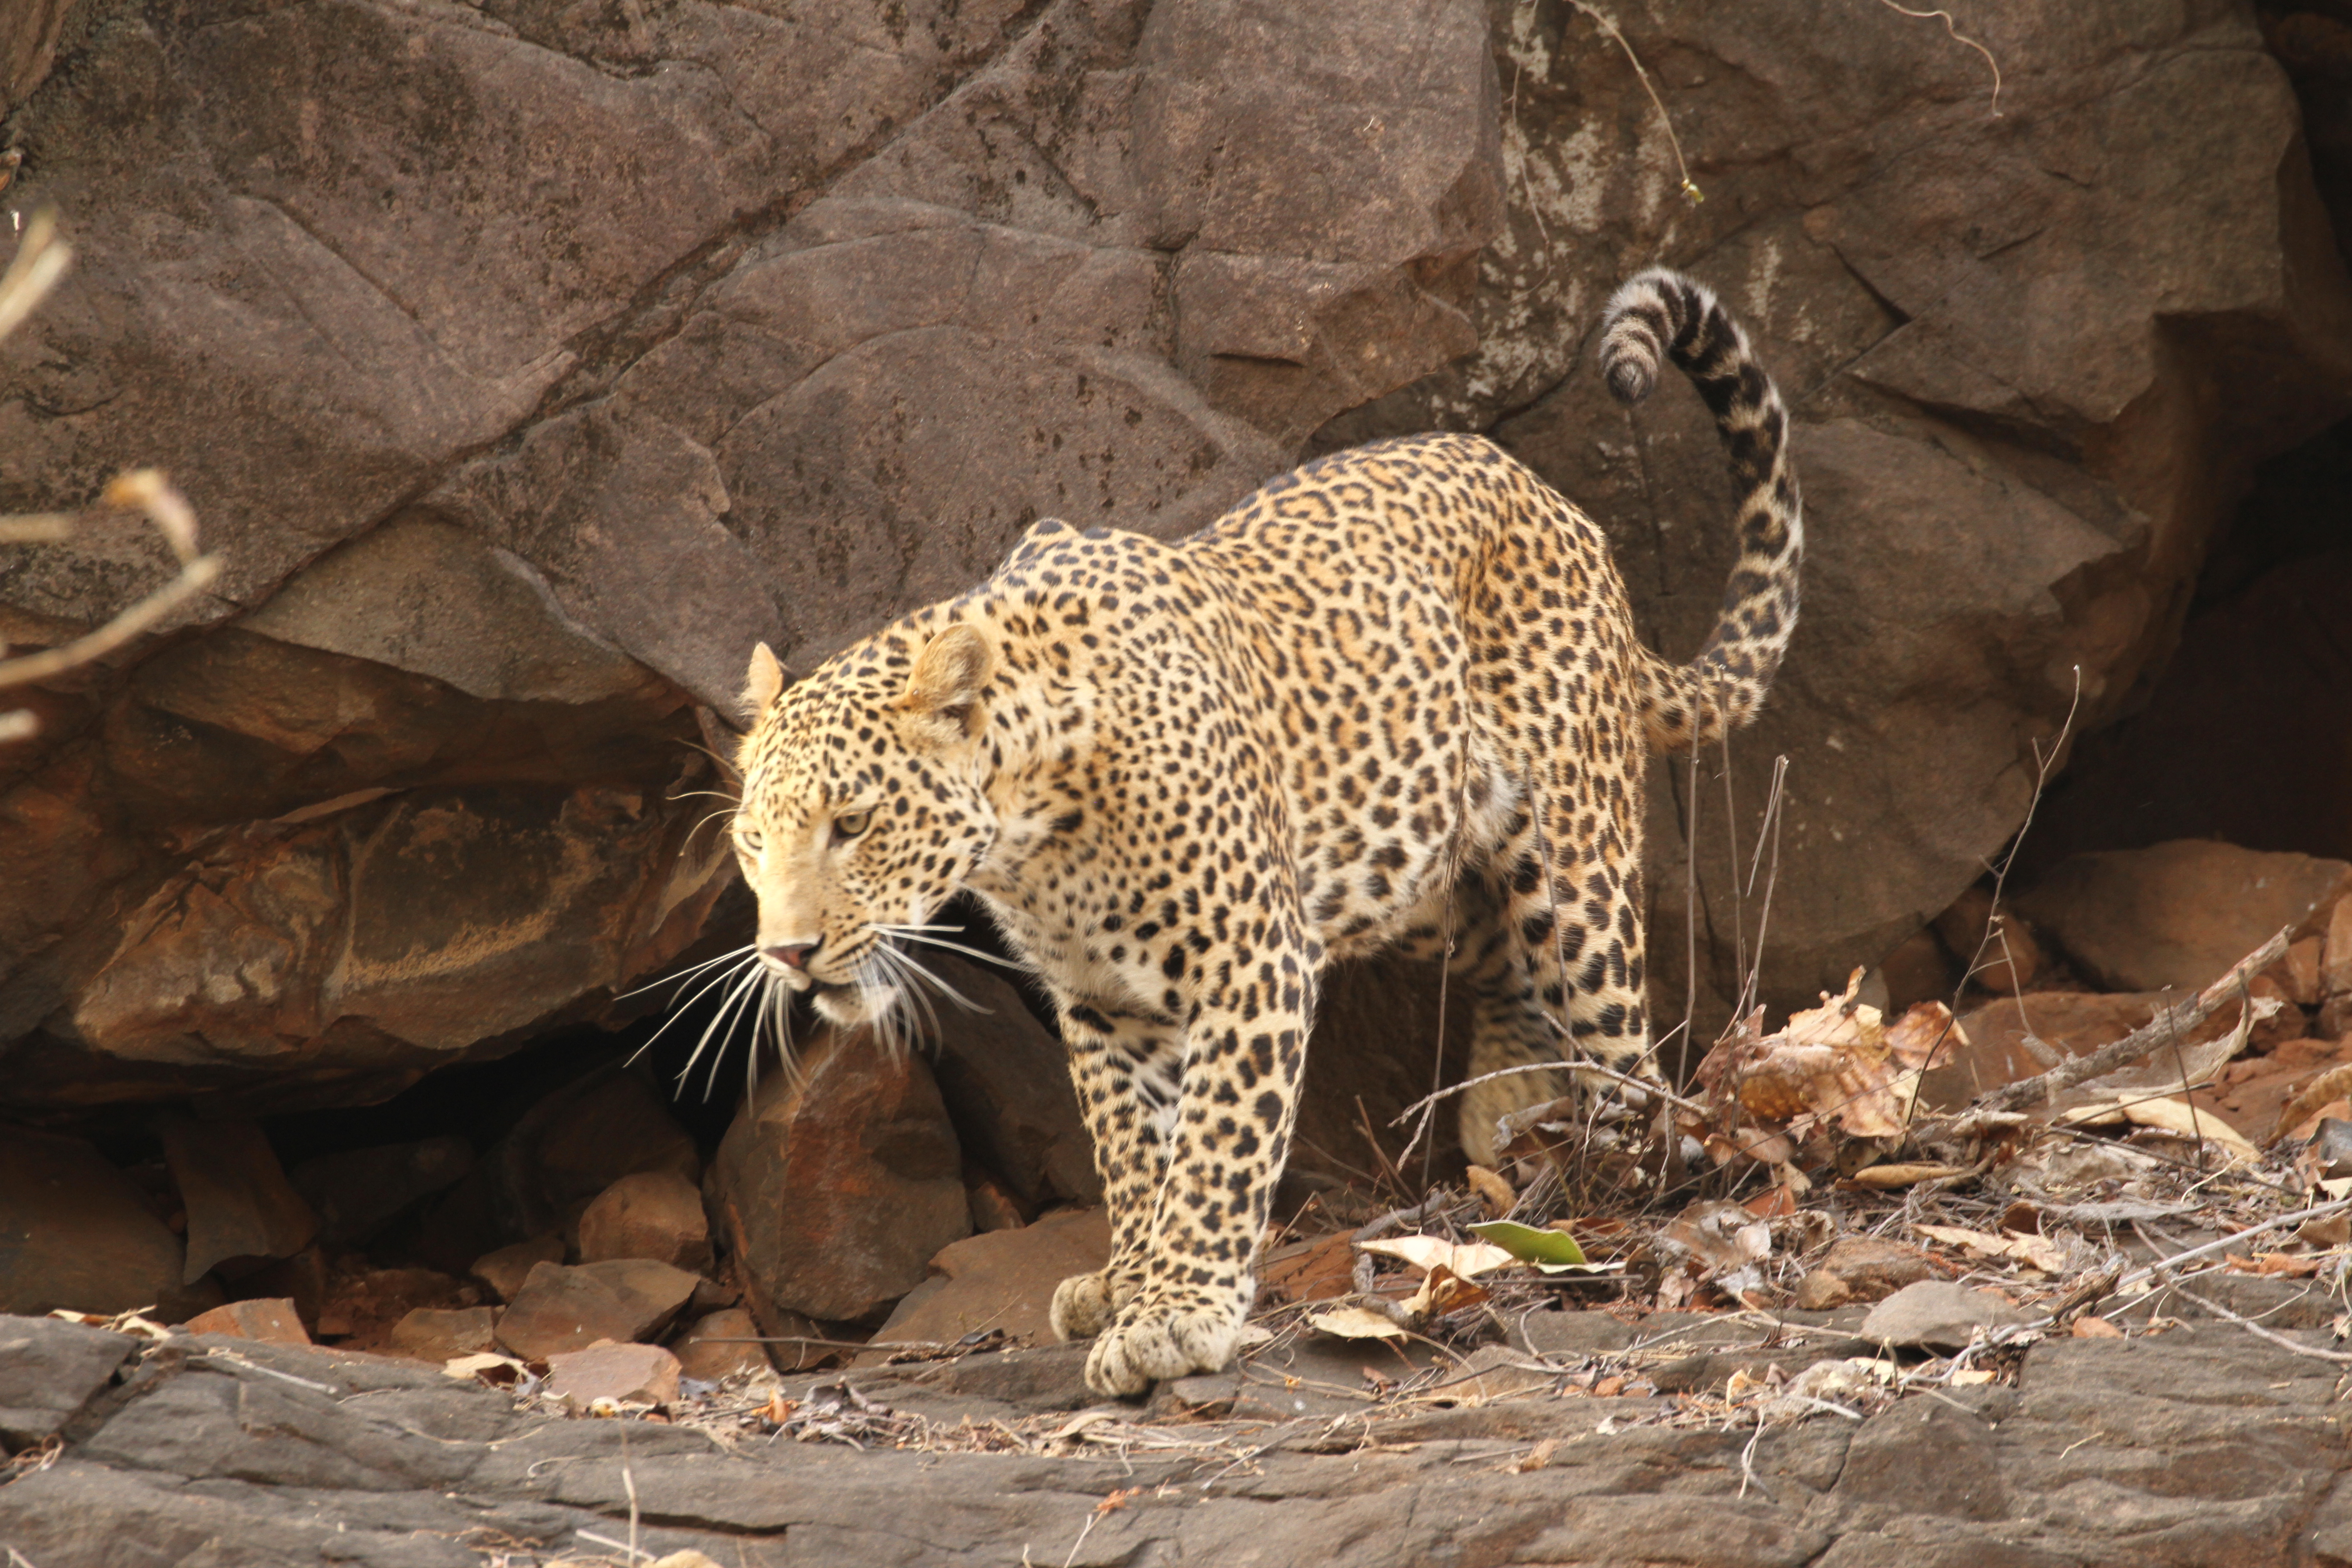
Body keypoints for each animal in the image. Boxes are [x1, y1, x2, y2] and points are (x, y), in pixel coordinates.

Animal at [729, 270, 1797, 1401]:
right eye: (752, 843)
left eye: (853, 824)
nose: (788, 954)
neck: (1032, 836)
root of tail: (1549, 499)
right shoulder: (1100, 999)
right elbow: (1134, 1149)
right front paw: (1132, 1279)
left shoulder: (1255, 961)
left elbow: (1215, 1146)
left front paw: (1178, 1314)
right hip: (1400, 864)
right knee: (1507, 969)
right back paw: (1507, 1118)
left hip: (1572, 865)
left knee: (1620, 1041)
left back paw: (1623, 1175)